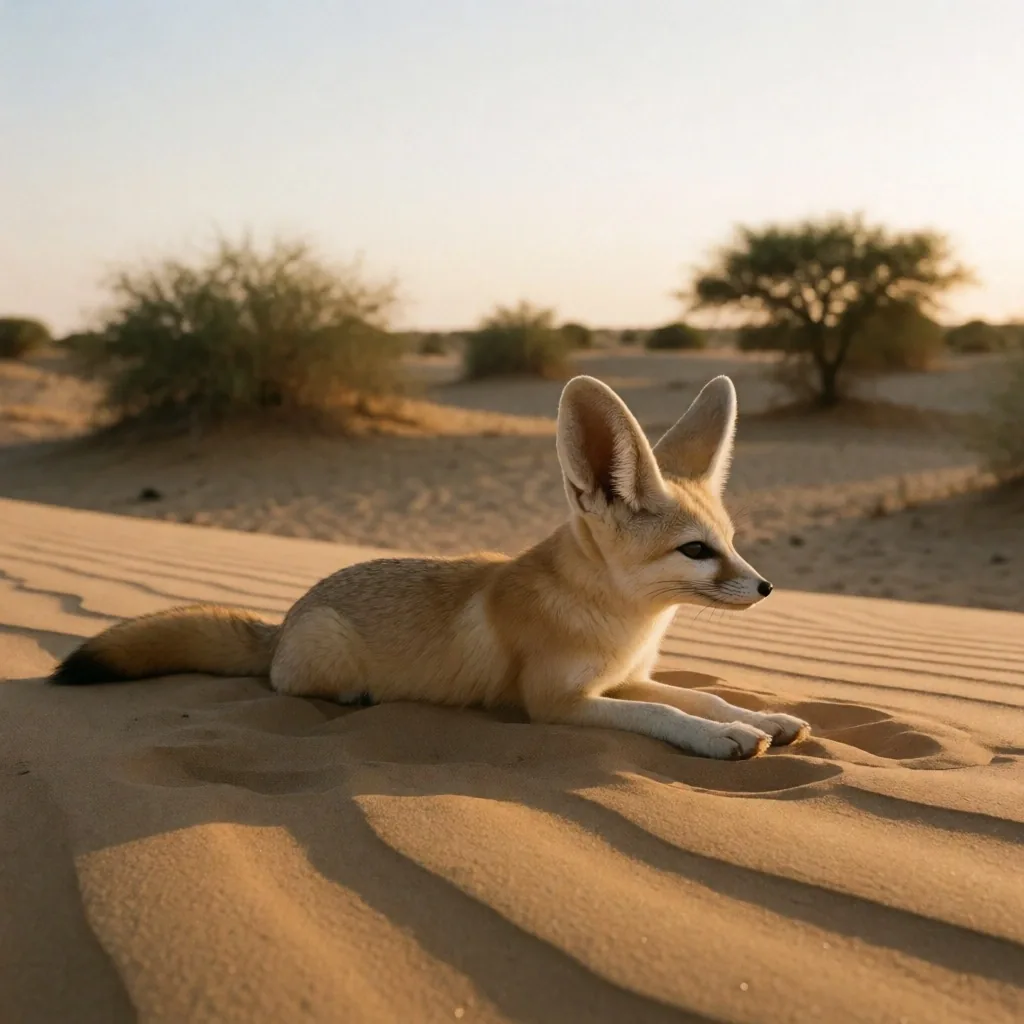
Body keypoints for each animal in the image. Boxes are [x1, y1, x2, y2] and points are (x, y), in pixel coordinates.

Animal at [50, 373, 810, 760]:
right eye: (696, 551)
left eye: (731, 540)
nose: (767, 587)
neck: (622, 625)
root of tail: (284, 620)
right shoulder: (556, 703)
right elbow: (662, 714)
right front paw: (719, 737)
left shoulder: (625, 676)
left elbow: (698, 697)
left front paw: (758, 717)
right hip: (320, 662)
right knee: (284, 686)